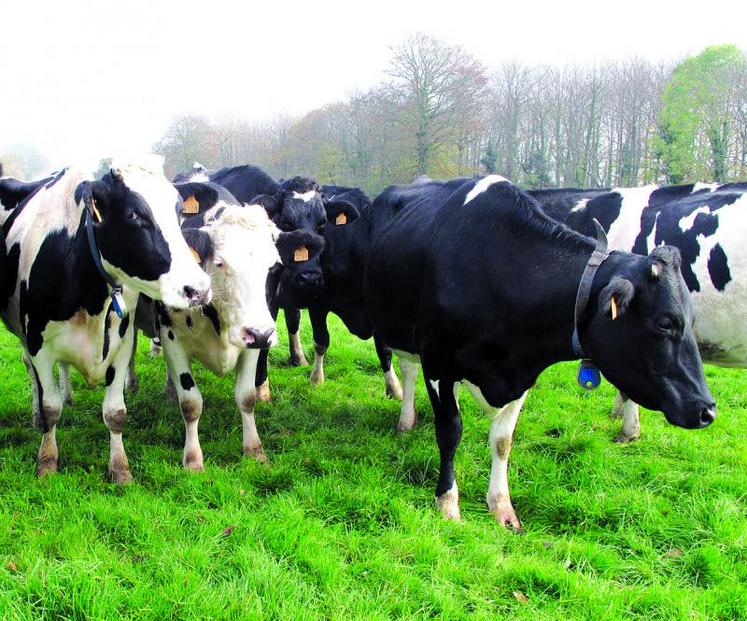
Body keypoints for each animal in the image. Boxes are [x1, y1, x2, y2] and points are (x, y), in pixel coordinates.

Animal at [0, 156, 212, 482]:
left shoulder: (120, 343)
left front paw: (120, 469)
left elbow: (115, 412)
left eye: (178, 211)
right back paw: (37, 416)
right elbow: (50, 407)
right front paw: (46, 462)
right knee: (33, 375)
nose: (198, 290)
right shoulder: (38, 342)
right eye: (133, 215)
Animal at [135, 204, 289, 466]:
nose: (260, 333)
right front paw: (193, 459)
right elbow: (190, 403)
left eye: (275, 266)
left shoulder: (252, 343)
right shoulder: (171, 338)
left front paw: (254, 450)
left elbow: (247, 397)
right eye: (220, 263)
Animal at [361, 175, 715, 527]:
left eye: (692, 319)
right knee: (408, 371)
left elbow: (502, 441)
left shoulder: (522, 373)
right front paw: (447, 502)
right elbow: (450, 430)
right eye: (665, 323)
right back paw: (406, 418)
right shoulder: (438, 363)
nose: (707, 410)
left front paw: (501, 506)